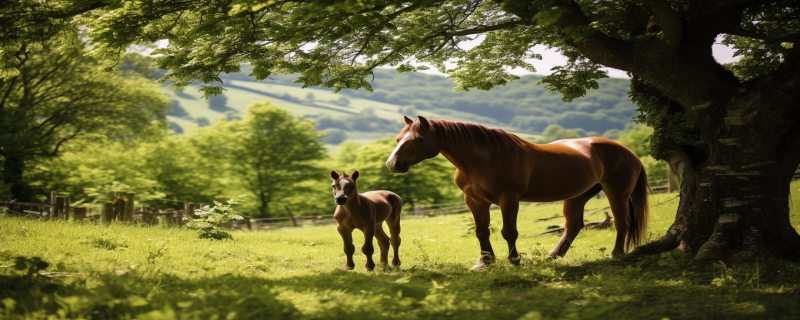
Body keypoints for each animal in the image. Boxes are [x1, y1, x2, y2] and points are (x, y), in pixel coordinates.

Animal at [384, 116, 648, 268]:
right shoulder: (475, 201)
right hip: (577, 195)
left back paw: (617, 253)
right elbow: (481, 232)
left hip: (617, 193)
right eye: (398, 138)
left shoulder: (508, 198)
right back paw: (553, 256)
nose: (392, 164)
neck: (485, 158)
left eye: (419, 139)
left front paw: (514, 261)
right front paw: (485, 262)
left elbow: (509, 232)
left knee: (622, 222)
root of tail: (628, 151)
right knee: (573, 226)